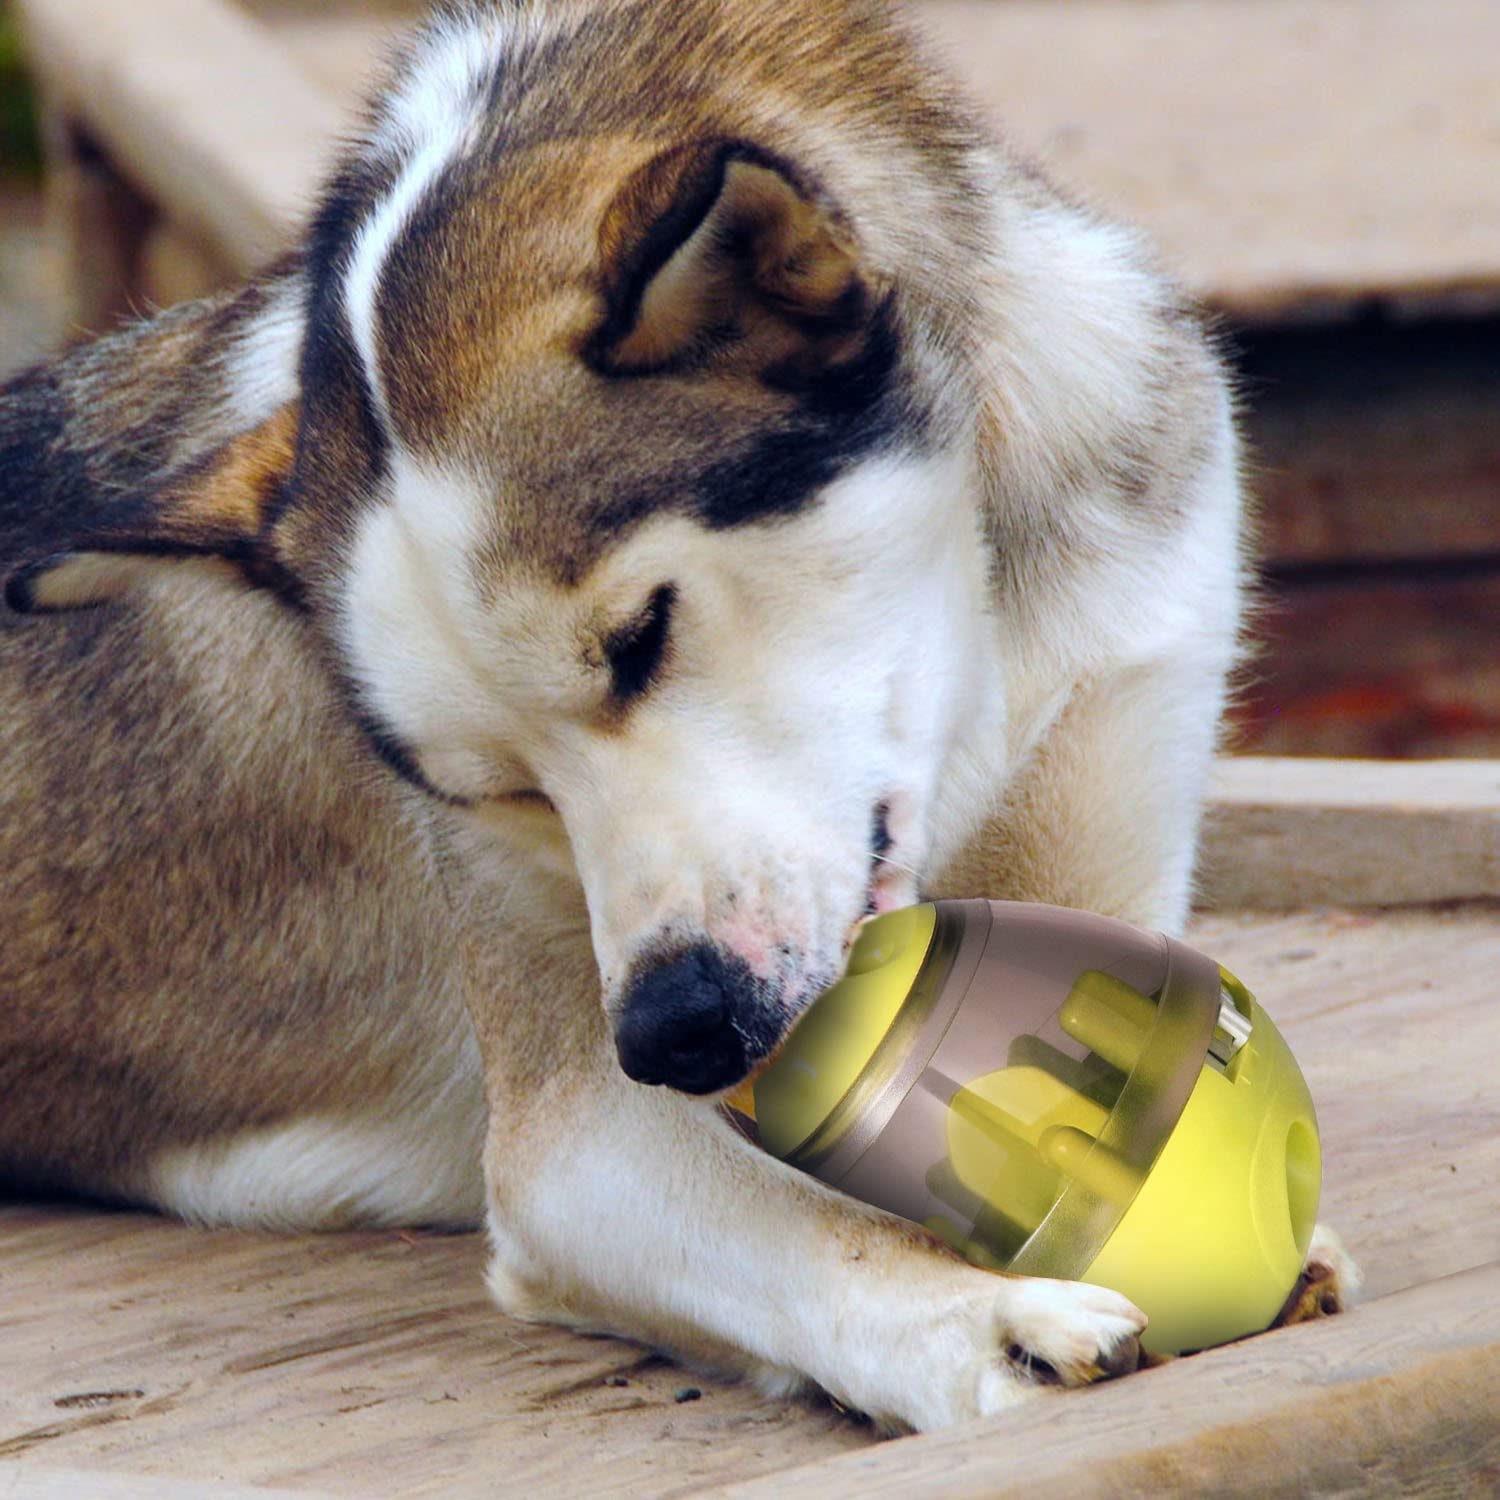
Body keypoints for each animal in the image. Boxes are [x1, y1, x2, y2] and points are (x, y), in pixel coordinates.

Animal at [0, 0, 1362, 1428]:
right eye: (494, 789)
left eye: (642, 634)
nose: (677, 1032)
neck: (980, 669)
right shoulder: (574, 1143)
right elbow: (810, 1227)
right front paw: (979, 1322)